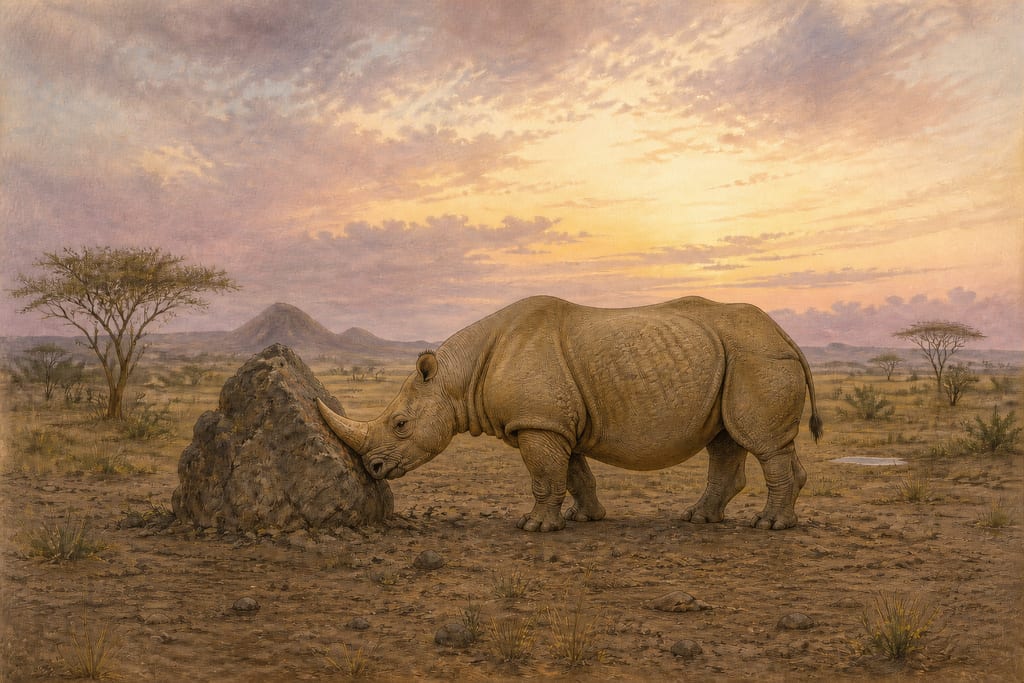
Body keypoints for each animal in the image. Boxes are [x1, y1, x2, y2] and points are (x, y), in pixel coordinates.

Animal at [318, 295, 822, 532]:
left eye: (401, 425)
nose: (373, 466)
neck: (457, 377)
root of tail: (784, 333)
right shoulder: (555, 422)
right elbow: (575, 474)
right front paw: (587, 518)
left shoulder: (539, 422)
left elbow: (544, 476)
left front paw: (534, 528)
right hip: (737, 357)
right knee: (727, 438)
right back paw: (698, 519)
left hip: (756, 357)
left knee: (760, 442)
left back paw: (768, 526)